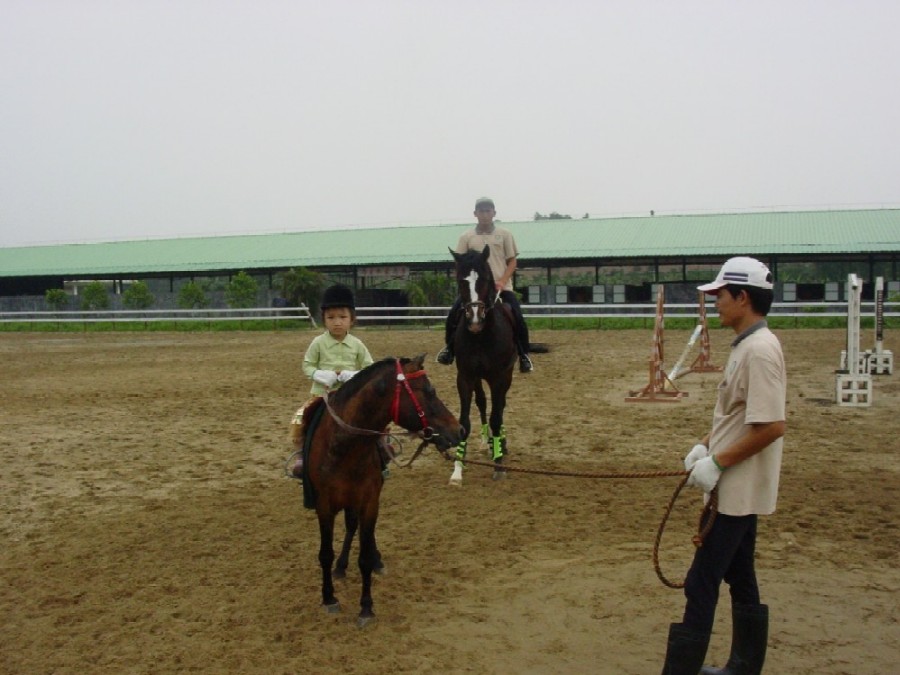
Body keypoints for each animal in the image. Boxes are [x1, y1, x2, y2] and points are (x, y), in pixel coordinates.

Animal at [302, 356, 460, 624]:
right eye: (430, 391)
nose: (459, 431)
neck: (344, 448)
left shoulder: (369, 501)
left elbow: (364, 556)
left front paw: (366, 607)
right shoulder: (324, 505)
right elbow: (325, 553)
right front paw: (329, 598)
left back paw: (371, 561)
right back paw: (341, 567)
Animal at [448, 248, 516, 486]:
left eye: (485, 279)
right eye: (461, 281)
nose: (475, 321)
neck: (481, 337)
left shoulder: (499, 378)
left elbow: (497, 417)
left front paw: (499, 464)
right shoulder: (465, 377)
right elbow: (464, 422)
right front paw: (458, 469)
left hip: (506, 376)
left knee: (500, 406)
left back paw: (500, 444)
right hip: (478, 379)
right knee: (483, 403)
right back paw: (487, 443)